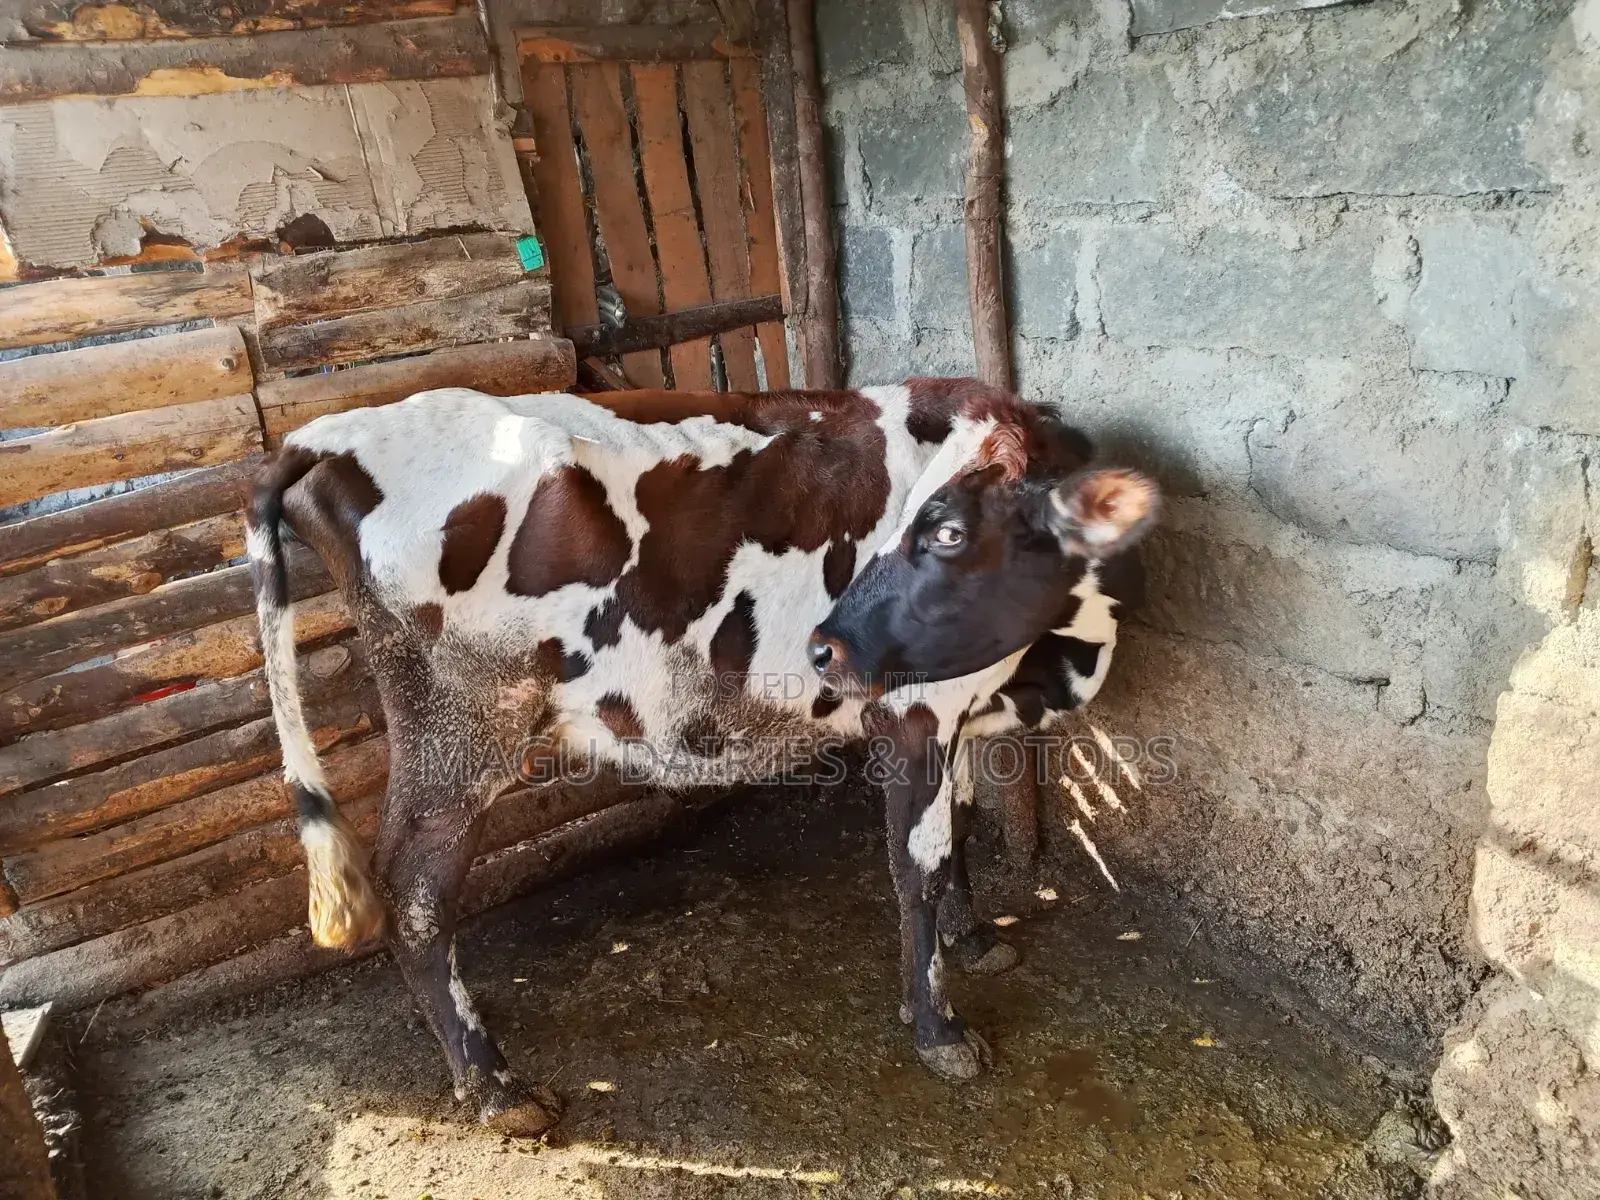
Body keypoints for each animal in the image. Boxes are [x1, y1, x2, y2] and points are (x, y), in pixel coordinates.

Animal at [247, 376, 1157, 1136]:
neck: (1053, 655)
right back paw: (497, 1088)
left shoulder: (958, 710)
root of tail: (330, 433)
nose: (829, 645)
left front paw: (975, 941)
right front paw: (939, 1028)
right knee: (413, 886)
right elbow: (918, 865)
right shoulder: (913, 711)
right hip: (461, 723)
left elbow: (960, 827)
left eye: (950, 532)